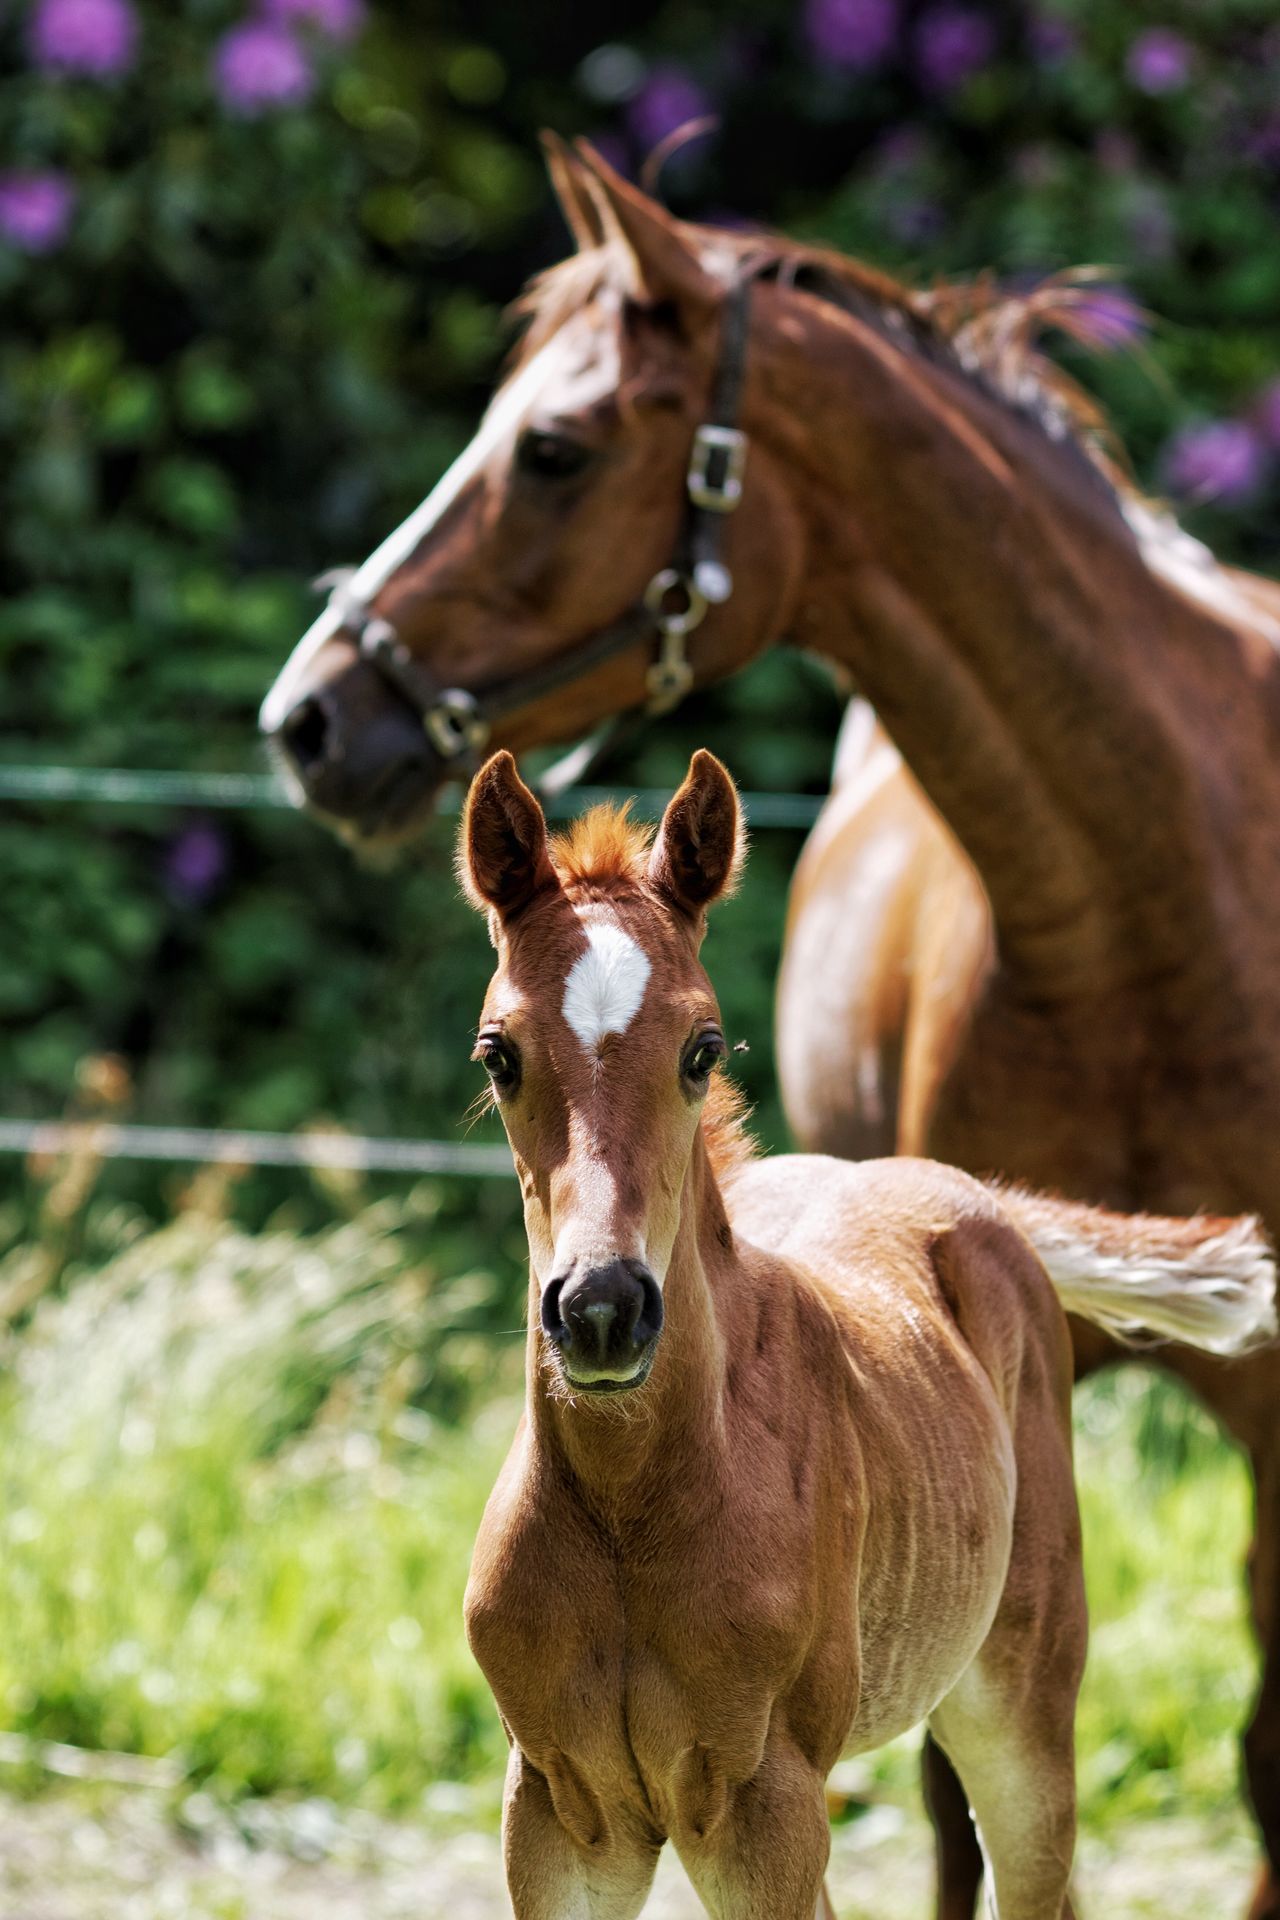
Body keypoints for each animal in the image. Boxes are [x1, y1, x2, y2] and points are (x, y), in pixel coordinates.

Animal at [260, 142, 1280, 1912]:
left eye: (555, 448)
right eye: (495, 1054)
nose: (317, 716)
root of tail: (970, 1203)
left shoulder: (763, 1811)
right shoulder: (557, 1815)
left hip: (1024, 1697)